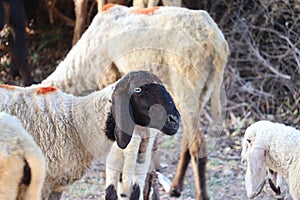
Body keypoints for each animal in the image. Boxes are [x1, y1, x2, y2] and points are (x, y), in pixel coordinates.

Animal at [41, 5, 230, 199]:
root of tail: (217, 44)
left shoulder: (110, 80)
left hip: (186, 89)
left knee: (197, 144)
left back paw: (199, 194)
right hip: (202, 93)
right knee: (188, 138)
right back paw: (176, 187)